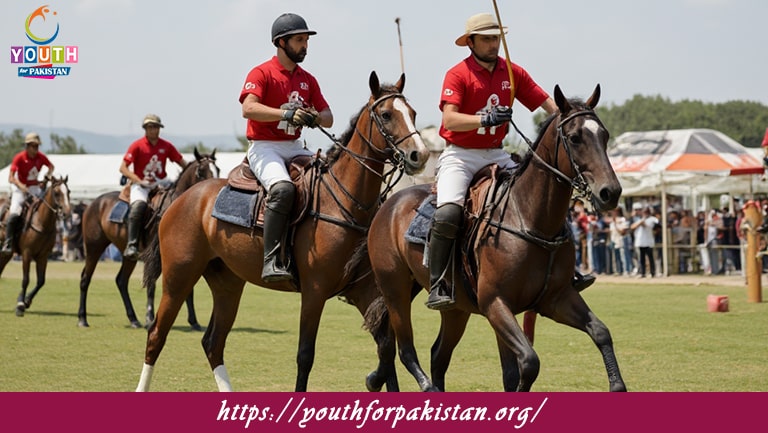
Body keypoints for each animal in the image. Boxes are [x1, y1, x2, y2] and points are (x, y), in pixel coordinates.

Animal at [0, 175, 72, 318]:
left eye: (68, 192)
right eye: (57, 193)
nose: (66, 213)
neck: (42, 223)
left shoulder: (43, 256)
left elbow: (41, 281)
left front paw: (27, 301)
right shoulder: (27, 254)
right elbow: (25, 279)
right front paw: (20, 305)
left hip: (6, 254)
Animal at [77, 148, 219, 328]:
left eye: (217, 169)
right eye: (201, 171)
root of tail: (93, 204)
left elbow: (188, 289)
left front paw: (194, 322)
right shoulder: (156, 256)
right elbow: (152, 286)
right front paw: (150, 318)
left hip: (127, 256)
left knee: (121, 281)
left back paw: (133, 319)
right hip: (94, 247)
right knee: (85, 278)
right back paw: (82, 318)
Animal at [134, 71, 428, 392]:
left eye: (413, 113)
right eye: (386, 115)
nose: (420, 155)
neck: (347, 201)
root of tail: (180, 199)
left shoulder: (363, 290)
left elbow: (386, 348)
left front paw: (375, 380)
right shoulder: (314, 291)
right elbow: (305, 355)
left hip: (227, 282)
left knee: (213, 342)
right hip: (179, 275)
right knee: (156, 335)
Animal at [364, 85, 628, 392]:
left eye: (604, 135)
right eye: (574, 138)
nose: (610, 192)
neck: (530, 218)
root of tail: (386, 205)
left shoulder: (557, 298)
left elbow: (600, 332)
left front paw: (617, 385)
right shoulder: (495, 303)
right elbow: (529, 362)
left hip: (456, 308)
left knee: (437, 355)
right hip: (395, 289)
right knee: (404, 348)